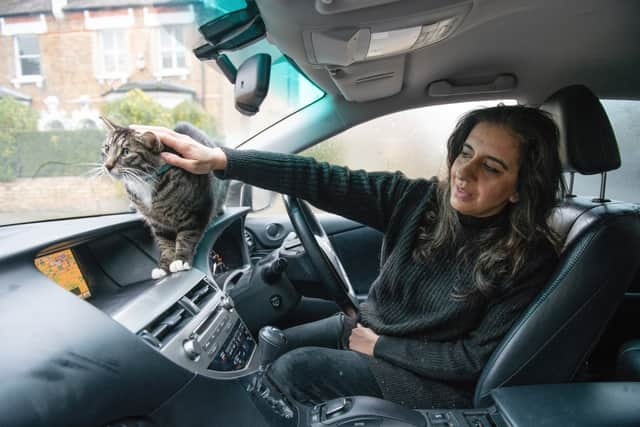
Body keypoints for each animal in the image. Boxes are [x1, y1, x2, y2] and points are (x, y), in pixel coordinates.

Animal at [100, 117, 230, 280]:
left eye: (126, 152)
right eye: (107, 148)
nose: (108, 165)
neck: (143, 181)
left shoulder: (198, 209)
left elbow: (187, 235)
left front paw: (180, 260)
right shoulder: (157, 223)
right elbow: (164, 243)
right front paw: (164, 265)